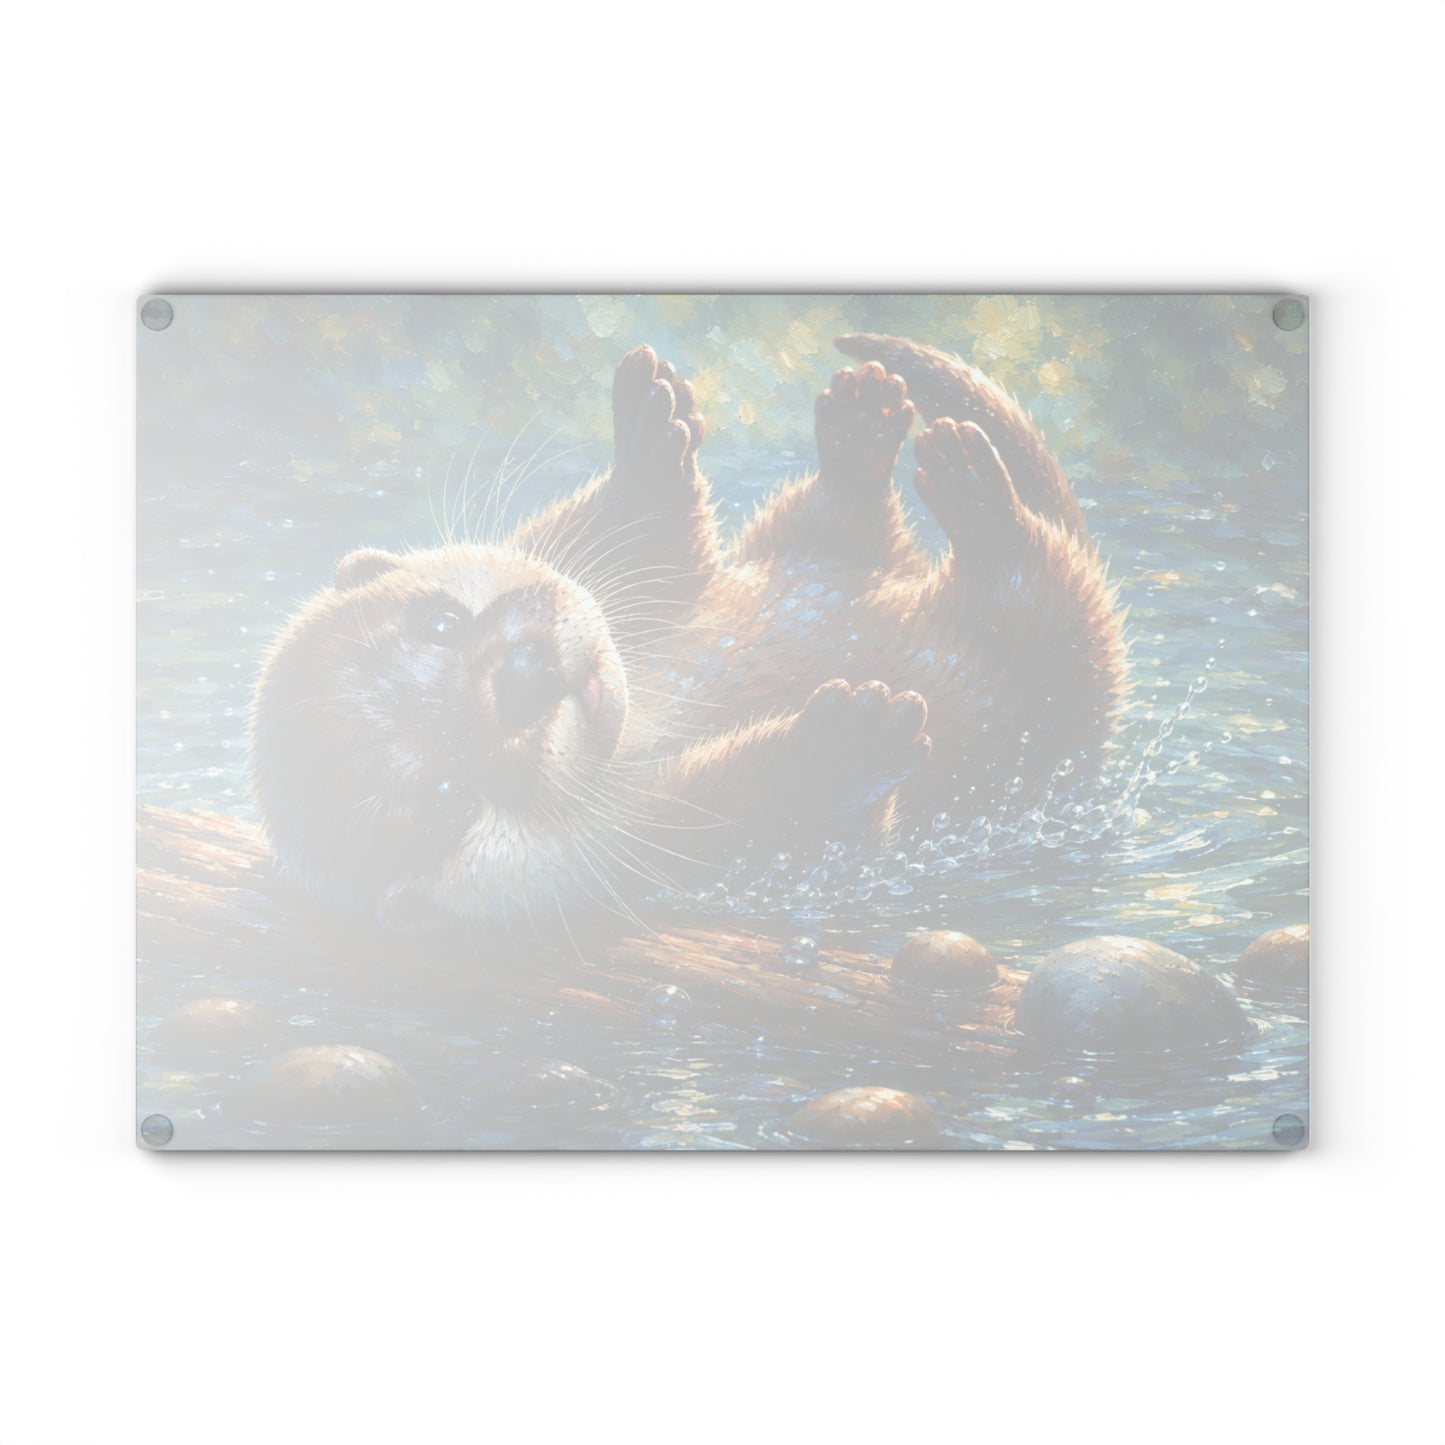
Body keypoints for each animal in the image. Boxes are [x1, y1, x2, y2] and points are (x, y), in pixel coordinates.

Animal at [250, 335, 1127, 931]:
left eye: (439, 621)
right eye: (446, 794)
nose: (524, 677)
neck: (649, 724)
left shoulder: (610, 574)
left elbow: (636, 543)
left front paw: (646, 433)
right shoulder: (659, 857)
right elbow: (788, 824)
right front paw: (841, 746)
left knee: (840, 526)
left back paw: (867, 432)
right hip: (1057, 654)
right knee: (1032, 584)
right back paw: (979, 505)